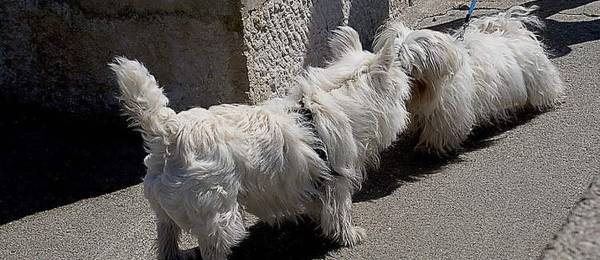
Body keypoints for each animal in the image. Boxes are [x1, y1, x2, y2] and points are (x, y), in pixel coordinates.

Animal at [110, 26, 410, 260]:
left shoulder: (315, 179)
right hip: (219, 214)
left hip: (165, 212)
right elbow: (341, 212)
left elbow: (320, 206)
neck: (330, 101)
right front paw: (349, 236)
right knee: (210, 247)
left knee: (167, 239)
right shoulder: (338, 180)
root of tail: (168, 131)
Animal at [378, 5, 564, 154]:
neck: (426, 89)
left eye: (407, 63)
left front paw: (429, 147)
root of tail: (510, 30)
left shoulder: (448, 111)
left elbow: (440, 130)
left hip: (537, 78)